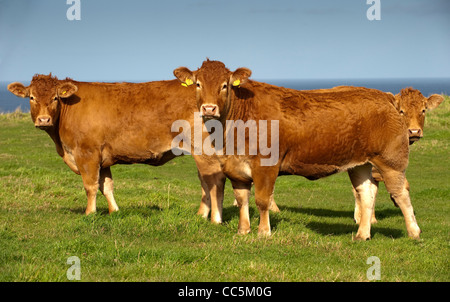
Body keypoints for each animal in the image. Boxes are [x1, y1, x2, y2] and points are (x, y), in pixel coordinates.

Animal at [7, 73, 225, 222]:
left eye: (55, 98)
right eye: (31, 98)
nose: (44, 120)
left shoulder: (87, 154)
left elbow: (90, 186)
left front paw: (90, 213)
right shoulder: (102, 158)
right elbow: (106, 186)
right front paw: (114, 211)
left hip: (204, 150)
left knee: (213, 180)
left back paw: (210, 217)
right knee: (205, 181)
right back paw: (202, 215)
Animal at [173, 60, 422, 241]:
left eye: (225, 85)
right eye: (198, 84)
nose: (209, 108)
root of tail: (384, 97)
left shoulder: (265, 165)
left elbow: (262, 200)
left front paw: (264, 232)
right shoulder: (235, 167)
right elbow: (242, 199)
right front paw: (243, 230)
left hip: (391, 161)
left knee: (401, 193)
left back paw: (414, 232)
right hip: (360, 164)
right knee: (366, 194)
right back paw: (362, 234)